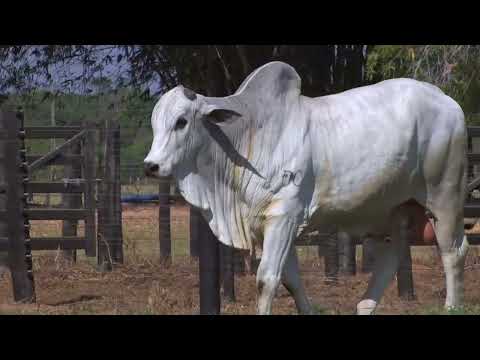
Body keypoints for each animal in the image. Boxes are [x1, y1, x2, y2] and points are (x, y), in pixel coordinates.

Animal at [143, 60, 468, 314]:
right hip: (394, 209)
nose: (151, 165)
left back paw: (451, 306)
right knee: (393, 257)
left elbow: (267, 279)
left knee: (453, 251)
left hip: (444, 195)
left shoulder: (284, 216)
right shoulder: (268, 223)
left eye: (181, 121)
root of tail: (447, 101)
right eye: (155, 123)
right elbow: (290, 280)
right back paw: (364, 306)